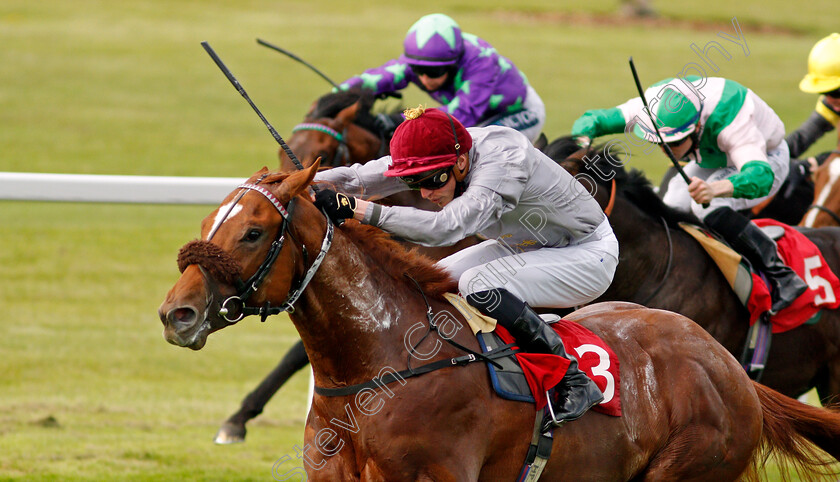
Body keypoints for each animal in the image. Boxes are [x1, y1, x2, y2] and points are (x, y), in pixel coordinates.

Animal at [159, 164, 840, 480]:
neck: (379, 370)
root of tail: (727, 368)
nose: (176, 314)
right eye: (207, 223)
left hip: (691, 464)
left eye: (253, 232)